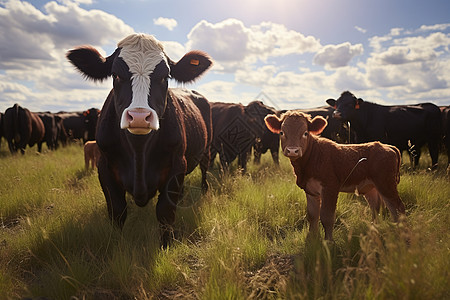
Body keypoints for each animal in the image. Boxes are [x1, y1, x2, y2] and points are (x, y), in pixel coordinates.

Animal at [67, 32, 214, 246]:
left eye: (165, 76)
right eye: (116, 74)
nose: (139, 117)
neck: (139, 152)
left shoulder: (177, 164)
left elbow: (165, 212)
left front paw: (165, 245)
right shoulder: (104, 167)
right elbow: (117, 211)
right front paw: (117, 245)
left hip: (207, 149)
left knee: (204, 169)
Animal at [266, 111, 406, 240]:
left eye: (305, 133)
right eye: (282, 133)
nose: (292, 150)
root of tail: (386, 146)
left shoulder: (330, 187)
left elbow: (327, 216)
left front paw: (328, 241)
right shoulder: (310, 190)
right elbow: (312, 215)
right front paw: (312, 238)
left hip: (386, 184)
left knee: (397, 208)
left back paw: (401, 233)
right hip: (371, 187)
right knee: (377, 207)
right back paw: (374, 229)